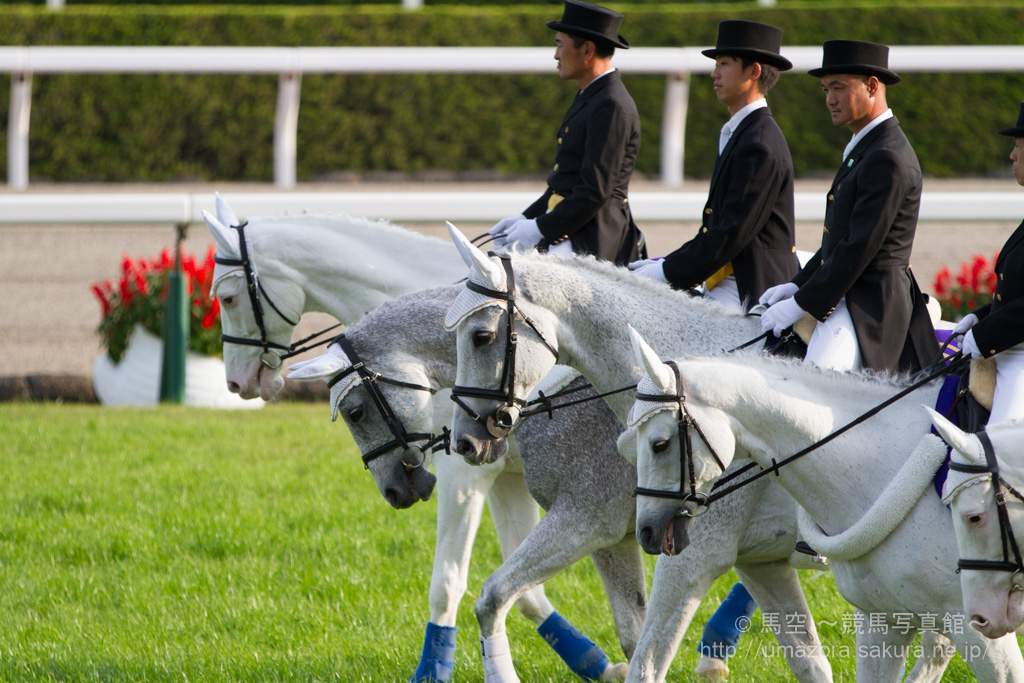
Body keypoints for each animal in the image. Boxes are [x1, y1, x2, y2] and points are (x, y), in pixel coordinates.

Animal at [200, 202, 593, 683]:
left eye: (228, 298)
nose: (236, 384)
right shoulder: (504, 476)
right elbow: (530, 594)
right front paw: (601, 664)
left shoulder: (462, 473)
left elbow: (447, 582)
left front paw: (431, 671)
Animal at [446, 225, 958, 683]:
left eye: (482, 336)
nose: (466, 440)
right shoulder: (758, 561)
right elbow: (810, 664)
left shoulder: (676, 553)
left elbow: (645, 662)